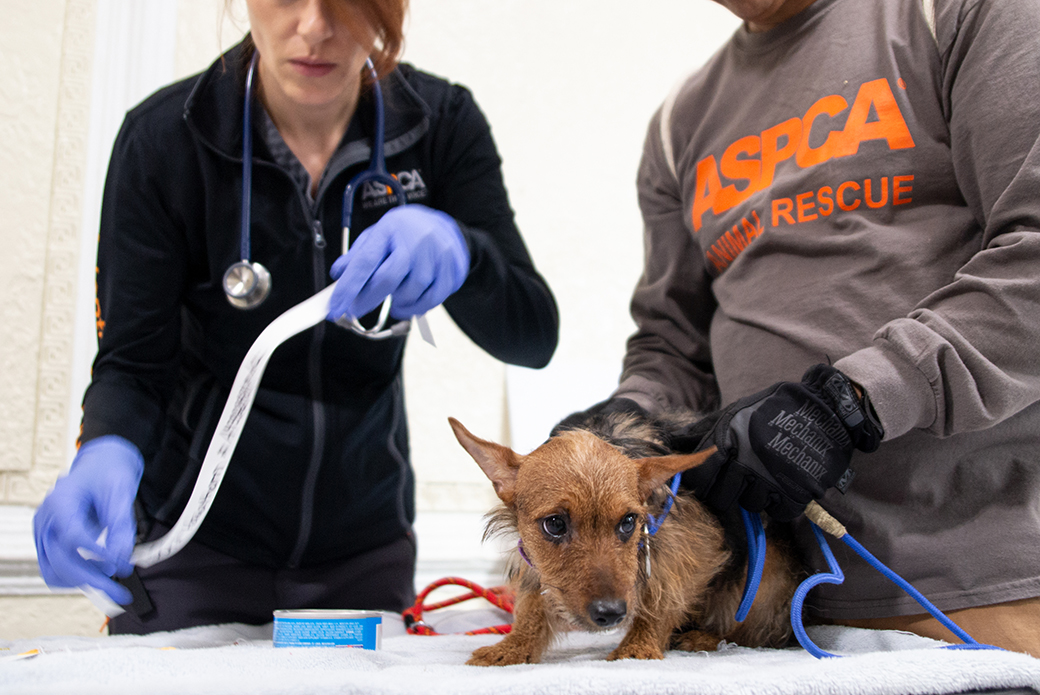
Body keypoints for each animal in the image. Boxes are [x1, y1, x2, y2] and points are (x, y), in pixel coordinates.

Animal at [449, 409, 802, 665]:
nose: (611, 613)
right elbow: (532, 605)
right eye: (555, 524)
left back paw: (707, 636)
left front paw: (638, 646)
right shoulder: (536, 562)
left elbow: (662, 598)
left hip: (764, 575)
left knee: (755, 634)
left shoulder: (693, 549)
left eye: (628, 522)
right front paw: (513, 646)